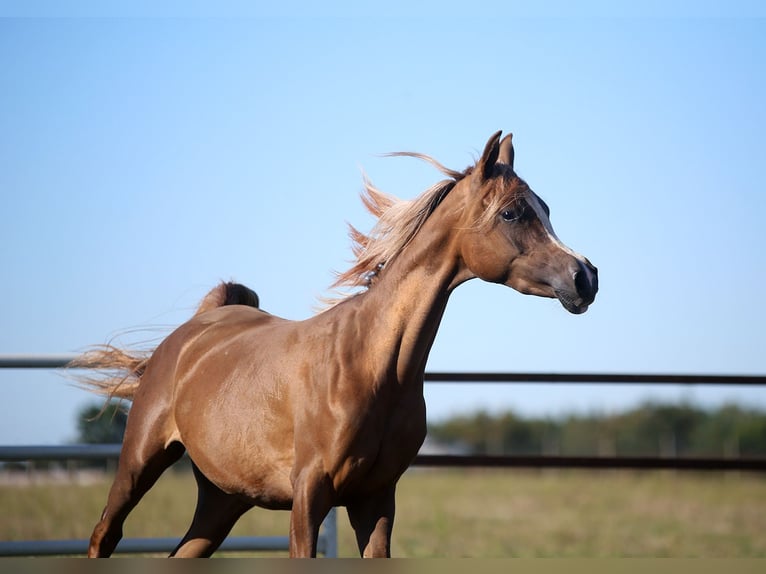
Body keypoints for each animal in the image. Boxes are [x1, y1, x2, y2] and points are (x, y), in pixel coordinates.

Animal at [73, 131, 598, 558]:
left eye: (546, 209)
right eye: (511, 213)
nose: (585, 276)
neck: (371, 366)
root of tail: (194, 329)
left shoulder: (376, 499)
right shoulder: (310, 495)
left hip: (223, 501)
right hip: (139, 462)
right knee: (104, 534)